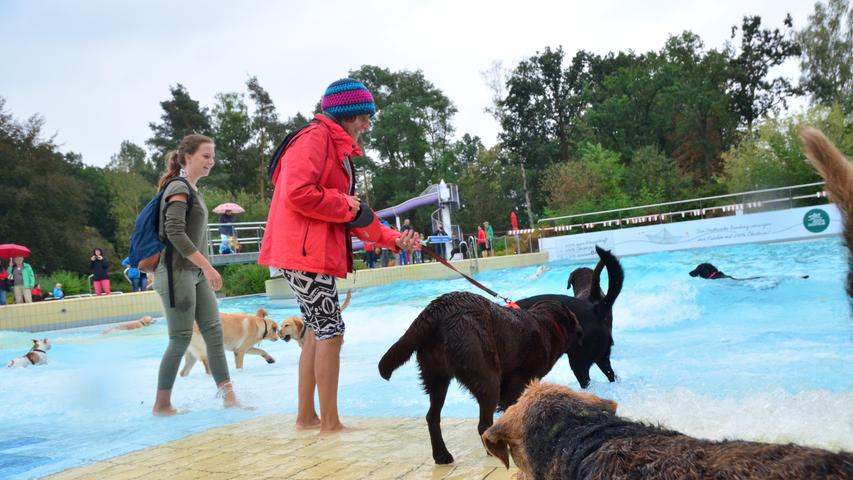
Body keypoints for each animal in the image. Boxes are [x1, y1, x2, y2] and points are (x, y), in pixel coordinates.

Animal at [376, 290, 584, 464]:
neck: (545, 323)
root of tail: (437, 309)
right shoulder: (517, 383)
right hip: (487, 376)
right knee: (483, 424)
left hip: (436, 377)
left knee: (432, 417)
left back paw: (442, 455)